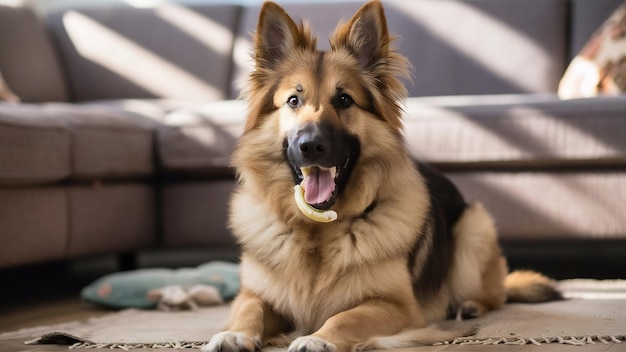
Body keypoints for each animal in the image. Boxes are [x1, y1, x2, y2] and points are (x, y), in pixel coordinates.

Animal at [202, 1, 560, 350]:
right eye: (293, 100)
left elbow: (346, 317)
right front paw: (234, 334)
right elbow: (249, 308)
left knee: (495, 295)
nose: (311, 146)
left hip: (473, 228)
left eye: (344, 99)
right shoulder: (254, 295)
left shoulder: (397, 306)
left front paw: (317, 338)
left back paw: (471, 305)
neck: (317, 232)